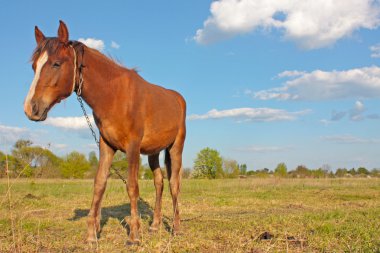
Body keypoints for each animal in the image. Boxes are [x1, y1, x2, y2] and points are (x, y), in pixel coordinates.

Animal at [23, 20, 186, 244]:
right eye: (34, 66)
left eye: (56, 63)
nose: (31, 109)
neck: (115, 95)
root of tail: (178, 98)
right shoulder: (106, 145)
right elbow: (99, 183)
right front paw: (91, 235)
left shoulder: (133, 146)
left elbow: (132, 186)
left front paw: (134, 236)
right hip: (153, 152)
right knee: (159, 183)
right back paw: (154, 225)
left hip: (175, 148)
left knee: (174, 185)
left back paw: (177, 229)